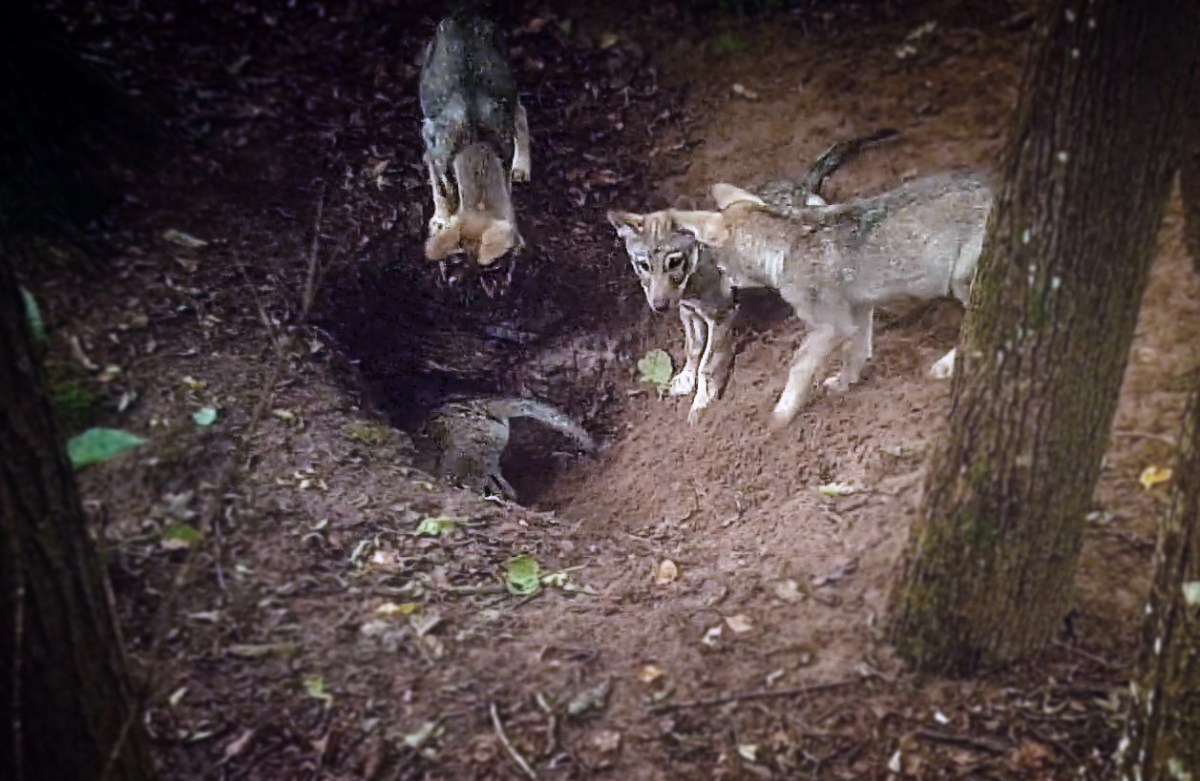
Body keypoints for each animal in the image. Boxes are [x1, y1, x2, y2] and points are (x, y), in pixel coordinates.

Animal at [419, 13, 530, 266]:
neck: (475, 142)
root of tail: (463, 14)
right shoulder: (431, 143)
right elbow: (442, 190)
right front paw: (441, 219)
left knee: (521, 113)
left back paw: (523, 166)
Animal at [607, 129, 898, 423]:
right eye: (643, 265)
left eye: (674, 262)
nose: (659, 306)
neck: (694, 274)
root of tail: (800, 185)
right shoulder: (687, 310)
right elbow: (692, 348)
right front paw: (685, 379)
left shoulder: (720, 315)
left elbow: (708, 364)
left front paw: (702, 402)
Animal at [667, 171, 993, 428]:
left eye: (721, 267)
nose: (723, 294)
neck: (784, 250)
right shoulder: (859, 311)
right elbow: (855, 353)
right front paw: (844, 384)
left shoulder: (830, 327)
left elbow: (798, 366)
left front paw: (781, 416)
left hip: (962, 282)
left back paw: (946, 366)